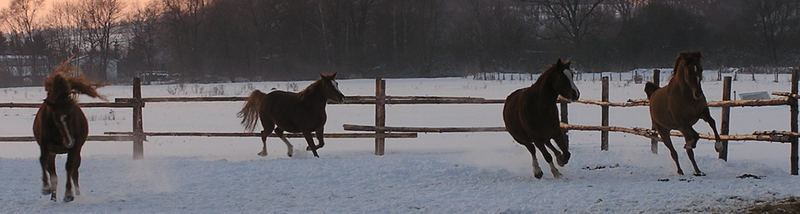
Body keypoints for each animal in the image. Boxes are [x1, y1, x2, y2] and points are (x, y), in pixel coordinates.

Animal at [33, 64, 105, 201]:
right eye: (56, 119)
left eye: (72, 115)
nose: (69, 141)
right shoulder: (45, 146)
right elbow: (42, 161)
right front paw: (45, 188)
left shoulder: (74, 149)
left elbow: (69, 167)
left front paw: (68, 194)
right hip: (53, 153)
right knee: (53, 172)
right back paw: (53, 196)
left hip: (77, 151)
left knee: (74, 172)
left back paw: (76, 192)